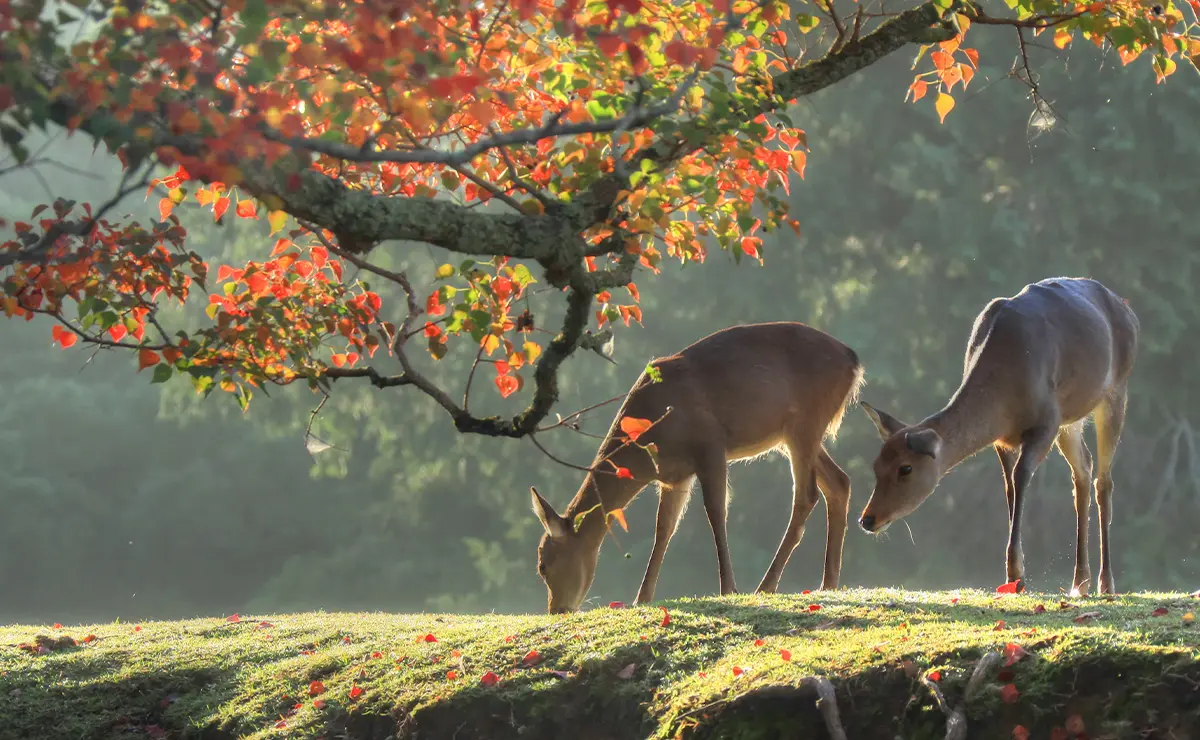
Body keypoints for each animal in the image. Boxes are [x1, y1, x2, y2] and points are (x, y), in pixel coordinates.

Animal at [532, 321, 864, 614]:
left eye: (543, 565)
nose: (556, 609)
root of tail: (853, 360)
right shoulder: (674, 476)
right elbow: (664, 528)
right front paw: (642, 598)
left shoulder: (711, 444)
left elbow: (715, 511)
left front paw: (728, 588)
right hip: (792, 433)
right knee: (839, 482)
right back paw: (828, 583)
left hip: (805, 421)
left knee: (807, 494)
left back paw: (766, 585)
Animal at [859, 275, 1137, 594]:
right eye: (876, 465)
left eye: (905, 468)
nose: (867, 518)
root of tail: (1128, 310)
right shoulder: (1003, 439)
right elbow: (1009, 487)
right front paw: (1013, 574)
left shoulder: (1046, 421)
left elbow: (1021, 477)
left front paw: (1016, 573)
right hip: (1072, 419)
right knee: (1083, 470)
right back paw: (1079, 582)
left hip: (1116, 390)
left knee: (1103, 481)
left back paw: (1106, 583)